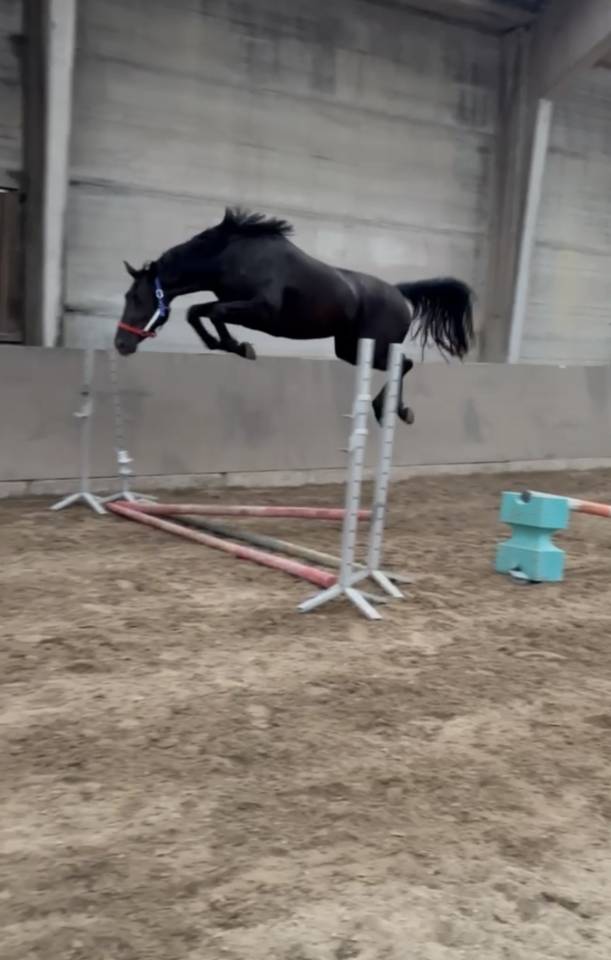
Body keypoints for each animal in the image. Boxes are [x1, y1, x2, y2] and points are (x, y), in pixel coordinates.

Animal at [115, 207, 474, 423]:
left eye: (136, 297)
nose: (120, 344)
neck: (230, 256)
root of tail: (400, 293)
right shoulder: (234, 303)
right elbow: (197, 312)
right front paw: (229, 345)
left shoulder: (261, 310)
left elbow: (212, 312)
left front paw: (240, 347)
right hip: (349, 349)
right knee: (401, 364)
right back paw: (389, 409)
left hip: (374, 346)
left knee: (406, 363)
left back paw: (395, 410)